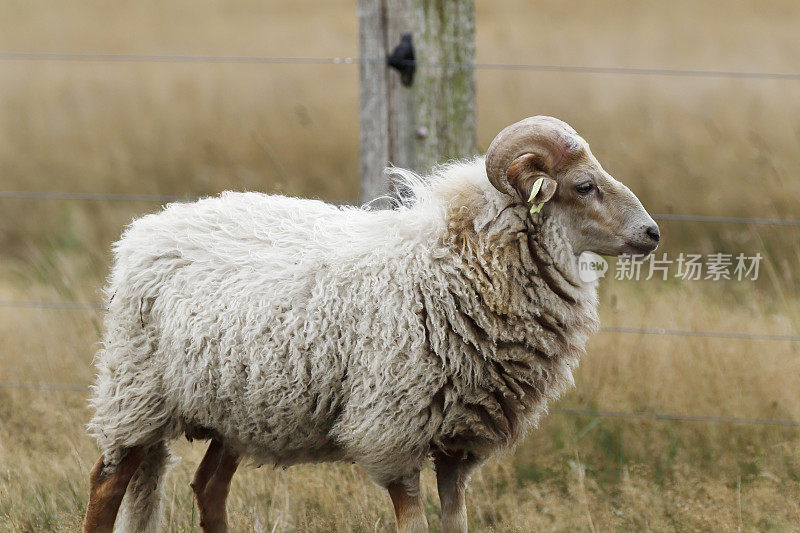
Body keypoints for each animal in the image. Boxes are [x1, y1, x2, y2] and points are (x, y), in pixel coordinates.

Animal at [83, 114, 656, 528]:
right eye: (584, 186)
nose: (652, 233)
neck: (459, 263)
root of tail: (146, 228)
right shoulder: (392, 432)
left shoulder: (459, 441)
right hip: (136, 392)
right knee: (106, 485)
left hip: (238, 407)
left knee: (209, 489)